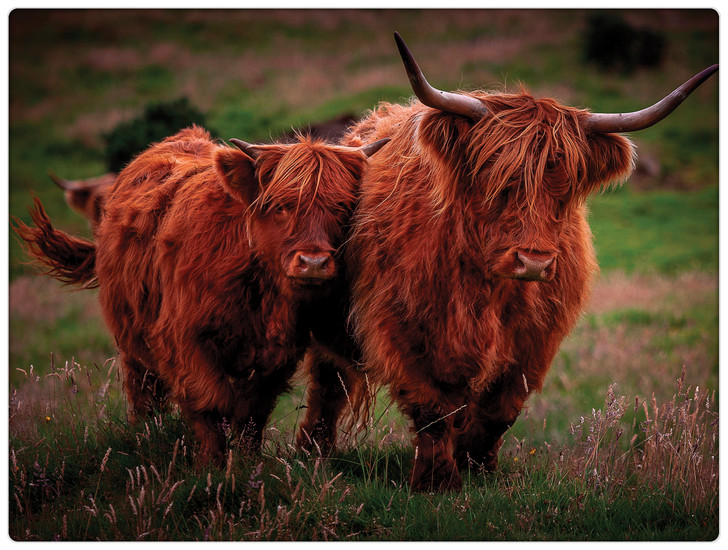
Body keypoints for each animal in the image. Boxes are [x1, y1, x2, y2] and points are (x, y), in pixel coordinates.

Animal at [322, 34, 720, 492]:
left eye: (567, 189)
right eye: (499, 181)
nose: (534, 261)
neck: (485, 287)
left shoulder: (535, 342)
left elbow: (499, 411)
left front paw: (480, 471)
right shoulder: (402, 327)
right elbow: (433, 408)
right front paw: (438, 481)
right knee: (327, 383)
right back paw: (314, 452)